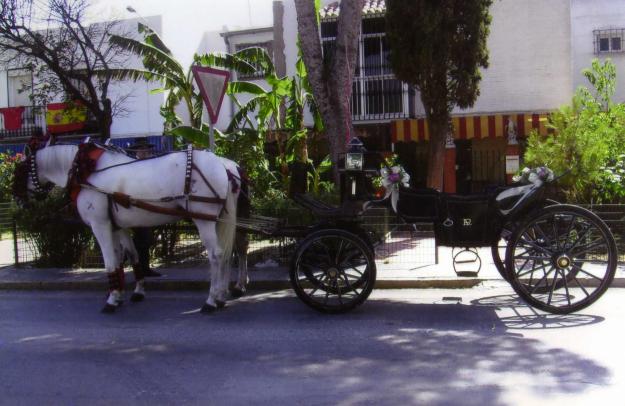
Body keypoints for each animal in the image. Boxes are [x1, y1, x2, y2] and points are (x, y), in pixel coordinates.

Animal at [17, 142, 247, 314]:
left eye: (21, 170)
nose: (18, 199)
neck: (84, 170)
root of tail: (223, 165)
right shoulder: (118, 226)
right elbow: (129, 256)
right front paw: (127, 293)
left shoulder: (100, 224)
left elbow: (110, 261)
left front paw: (111, 300)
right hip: (219, 219)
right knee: (228, 253)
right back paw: (221, 296)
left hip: (204, 219)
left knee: (217, 254)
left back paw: (211, 300)